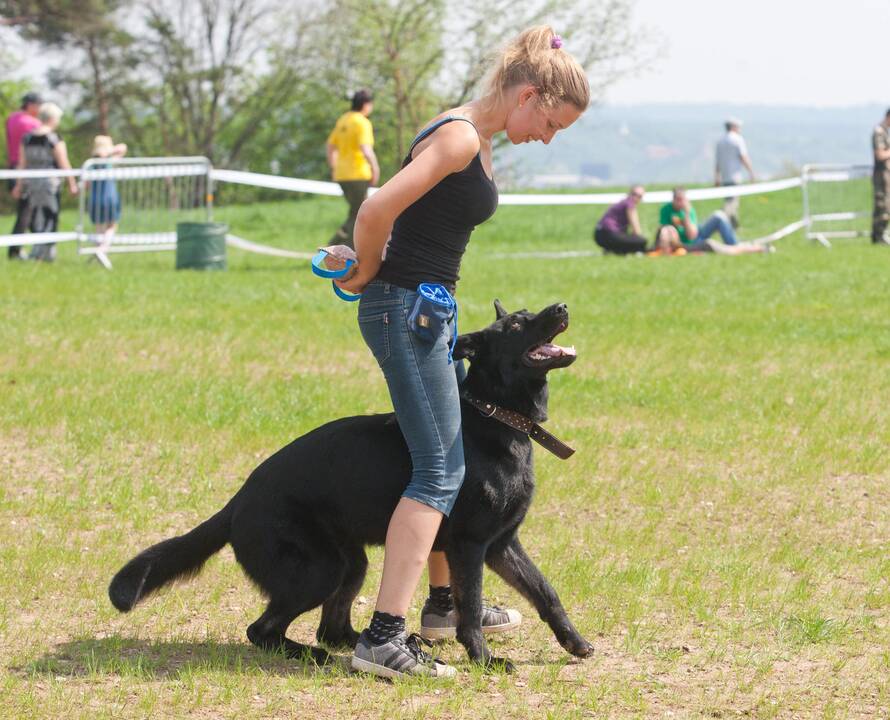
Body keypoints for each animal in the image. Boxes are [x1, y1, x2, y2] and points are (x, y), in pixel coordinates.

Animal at [111, 300, 592, 668]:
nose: (562, 307)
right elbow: (470, 611)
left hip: (350, 564)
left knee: (330, 627)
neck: (494, 416)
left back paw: (352, 643)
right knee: (262, 630)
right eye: (516, 325)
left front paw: (574, 642)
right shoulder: (471, 548)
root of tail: (237, 502)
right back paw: (312, 655)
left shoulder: (503, 545)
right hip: (319, 570)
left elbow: (546, 593)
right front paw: (485, 660)